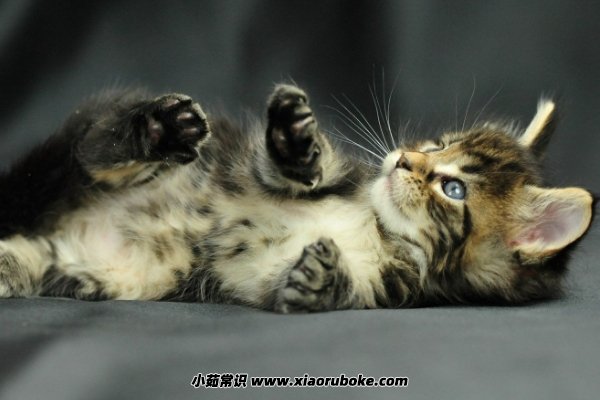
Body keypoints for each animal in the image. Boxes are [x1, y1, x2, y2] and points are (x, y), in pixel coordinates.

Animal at [0, 84, 594, 313]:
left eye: (453, 188)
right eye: (437, 145)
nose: (403, 158)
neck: (378, 229)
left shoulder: (386, 289)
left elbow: (317, 291)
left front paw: (321, 278)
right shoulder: (328, 176)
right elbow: (302, 166)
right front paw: (295, 140)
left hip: (99, 270)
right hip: (102, 156)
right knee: (95, 147)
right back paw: (159, 129)